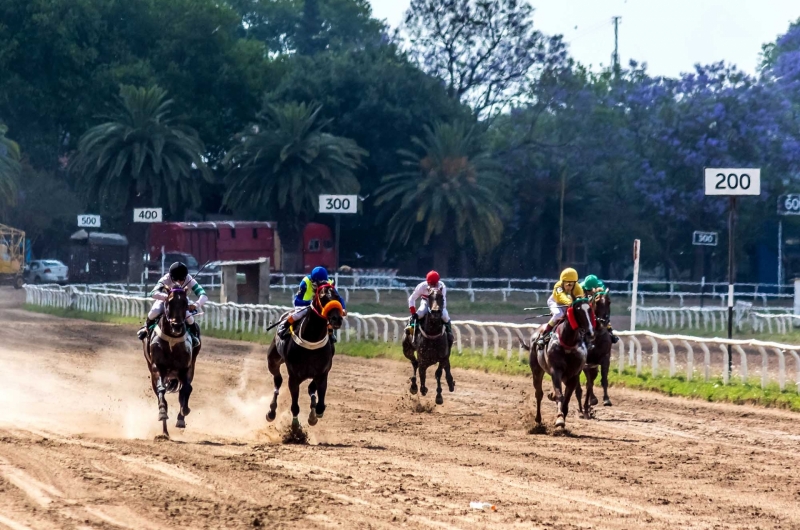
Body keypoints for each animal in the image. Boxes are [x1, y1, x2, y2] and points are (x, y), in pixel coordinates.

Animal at [141, 284, 198, 438]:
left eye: (185, 303)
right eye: (169, 302)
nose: (177, 326)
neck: (172, 340)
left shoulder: (185, 368)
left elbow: (186, 390)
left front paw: (183, 413)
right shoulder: (158, 367)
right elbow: (161, 390)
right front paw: (162, 412)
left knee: (184, 391)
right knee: (160, 392)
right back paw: (164, 432)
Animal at [268, 282, 346, 426]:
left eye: (337, 296)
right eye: (323, 297)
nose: (336, 319)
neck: (312, 341)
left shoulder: (322, 373)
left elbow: (320, 405)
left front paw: (313, 416)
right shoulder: (294, 377)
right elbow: (295, 406)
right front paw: (295, 427)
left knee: (310, 389)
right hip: (272, 361)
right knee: (278, 380)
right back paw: (271, 412)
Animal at [528, 296, 592, 428]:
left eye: (590, 310)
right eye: (578, 310)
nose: (589, 332)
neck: (568, 342)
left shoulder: (574, 374)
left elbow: (566, 399)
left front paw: (562, 417)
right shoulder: (556, 370)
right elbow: (559, 395)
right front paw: (559, 419)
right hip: (536, 369)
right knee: (539, 393)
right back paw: (538, 419)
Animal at [576, 288, 612, 416]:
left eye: (609, 302)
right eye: (597, 302)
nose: (604, 321)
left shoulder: (605, 357)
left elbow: (604, 379)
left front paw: (606, 400)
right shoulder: (586, 363)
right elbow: (589, 383)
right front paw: (592, 400)